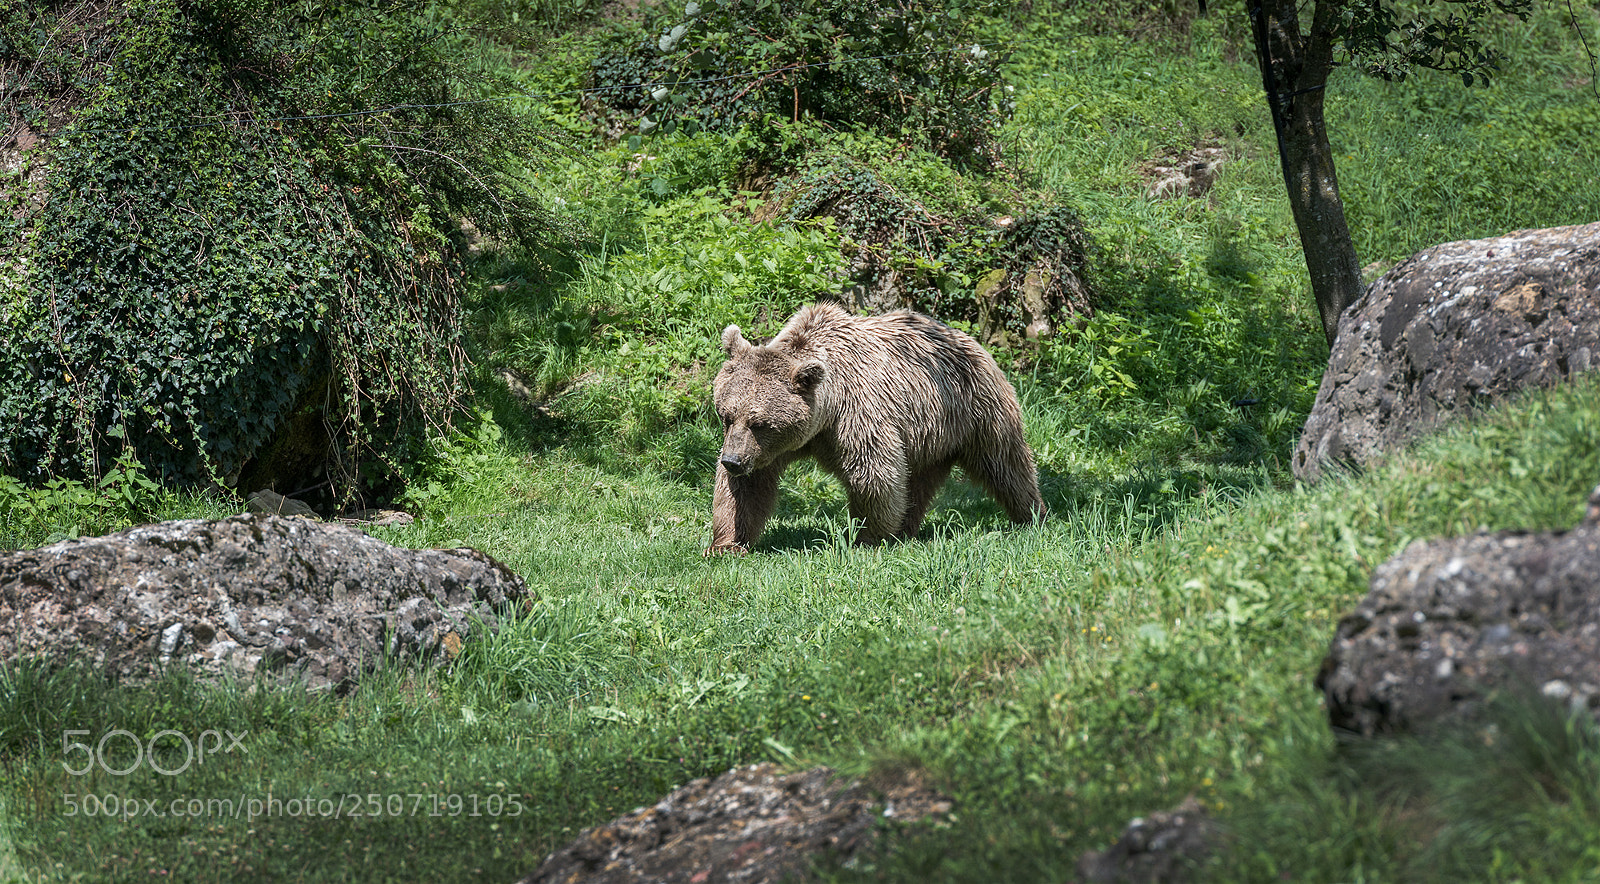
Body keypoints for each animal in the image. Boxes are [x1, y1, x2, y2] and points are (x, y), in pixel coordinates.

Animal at [707, 304, 1043, 550]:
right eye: (726, 415)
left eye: (760, 422)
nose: (732, 461)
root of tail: (968, 339)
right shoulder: (774, 447)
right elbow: (746, 489)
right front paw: (726, 543)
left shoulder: (857, 415)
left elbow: (873, 472)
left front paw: (868, 537)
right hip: (928, 437)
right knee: (917, 481)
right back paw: (906, 527)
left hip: (974, 411)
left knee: (1006, 463)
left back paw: (1031, 514)